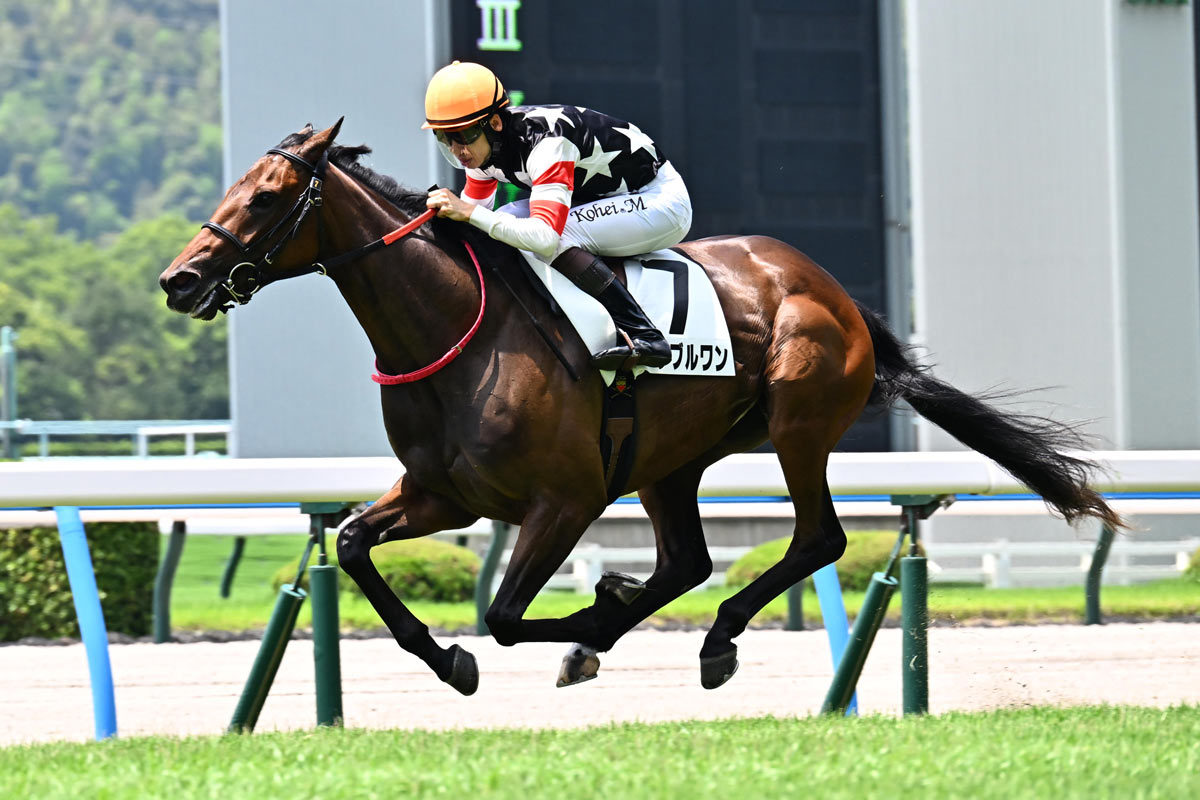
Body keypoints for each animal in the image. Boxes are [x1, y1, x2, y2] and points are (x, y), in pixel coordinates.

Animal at [161, 120, 1121, 695]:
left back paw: (704, 638)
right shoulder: (447, 494)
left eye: (266, 197)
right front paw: (455, 660)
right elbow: (359, 544)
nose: (181, 280)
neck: (457, 332)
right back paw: (640, 624)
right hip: (671, 459)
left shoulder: (567, 497)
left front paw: (584, 618)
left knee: (817, 540)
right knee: (689, 561)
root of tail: (833, 291)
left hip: (799, 423)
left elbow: (504, 616)